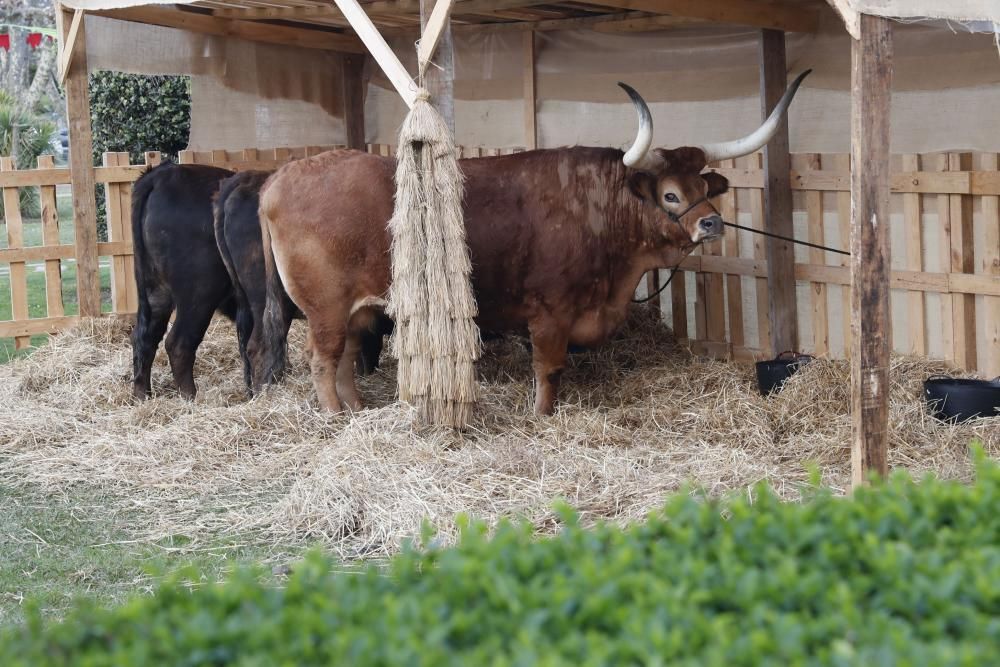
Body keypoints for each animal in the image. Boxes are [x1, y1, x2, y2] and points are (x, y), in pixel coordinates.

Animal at [260, 75, 812, 414]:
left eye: (704, 188)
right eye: (671, 194)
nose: (712, 224)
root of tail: (281, 178)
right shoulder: (550, 311)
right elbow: (550, 367)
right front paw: (543, 413)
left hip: (355, 308)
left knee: (347, 356)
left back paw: (357, 408)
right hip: (325, 308)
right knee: (323, 360)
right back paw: (336, 416)